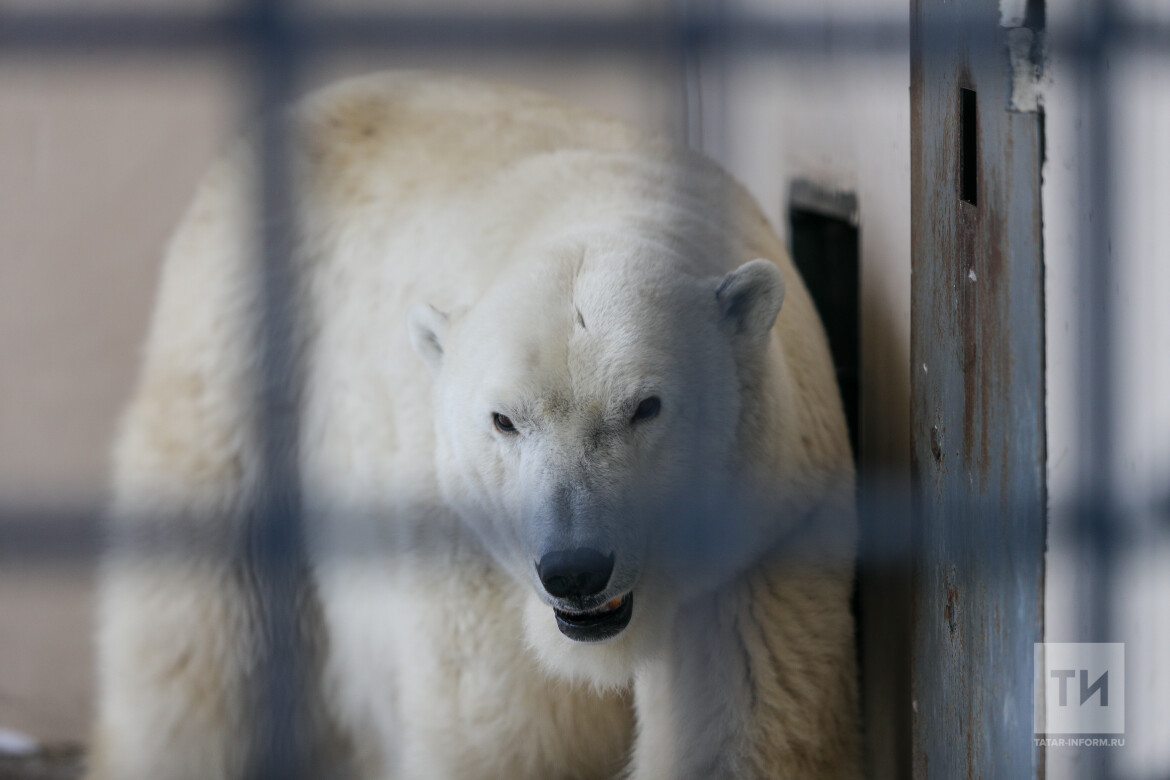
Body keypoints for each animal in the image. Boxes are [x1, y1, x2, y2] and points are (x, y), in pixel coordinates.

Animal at [91, 73, 861, 780]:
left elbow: (743, 730)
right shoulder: (471, 557)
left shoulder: (760, 548)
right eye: (504, 420)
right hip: (239, 357)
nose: (575, 569)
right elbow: (505, 736)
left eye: (646, 406)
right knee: (193, 649)